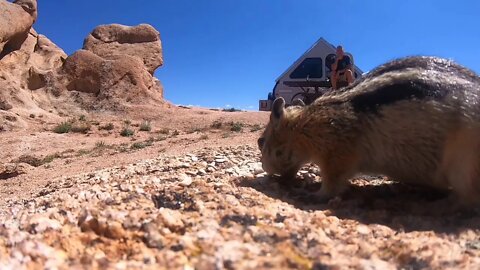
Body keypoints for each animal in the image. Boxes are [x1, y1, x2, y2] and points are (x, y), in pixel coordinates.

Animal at [258, 56, 480, 204]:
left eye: (261, 141)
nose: (265, 171)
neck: (304, 125)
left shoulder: (337, 153)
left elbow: (332, 182)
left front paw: (312, 194)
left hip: (464, 162)